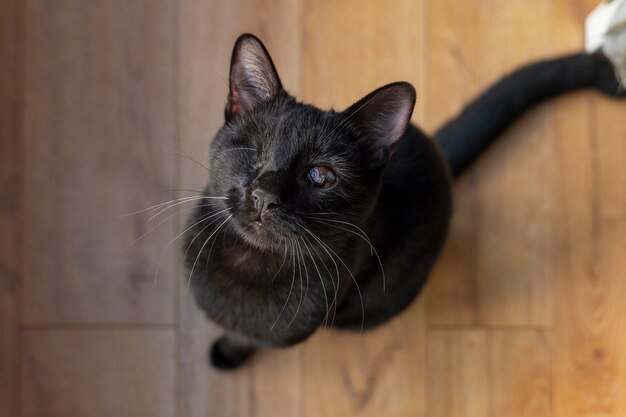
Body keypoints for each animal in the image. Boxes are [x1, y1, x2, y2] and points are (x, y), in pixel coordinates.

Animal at [183, 34, 620, 368]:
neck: (249, 262)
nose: (265, 195)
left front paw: (227, 353)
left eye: (319, 176)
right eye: (251, 150)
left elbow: (247, 337)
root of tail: (438, 153)